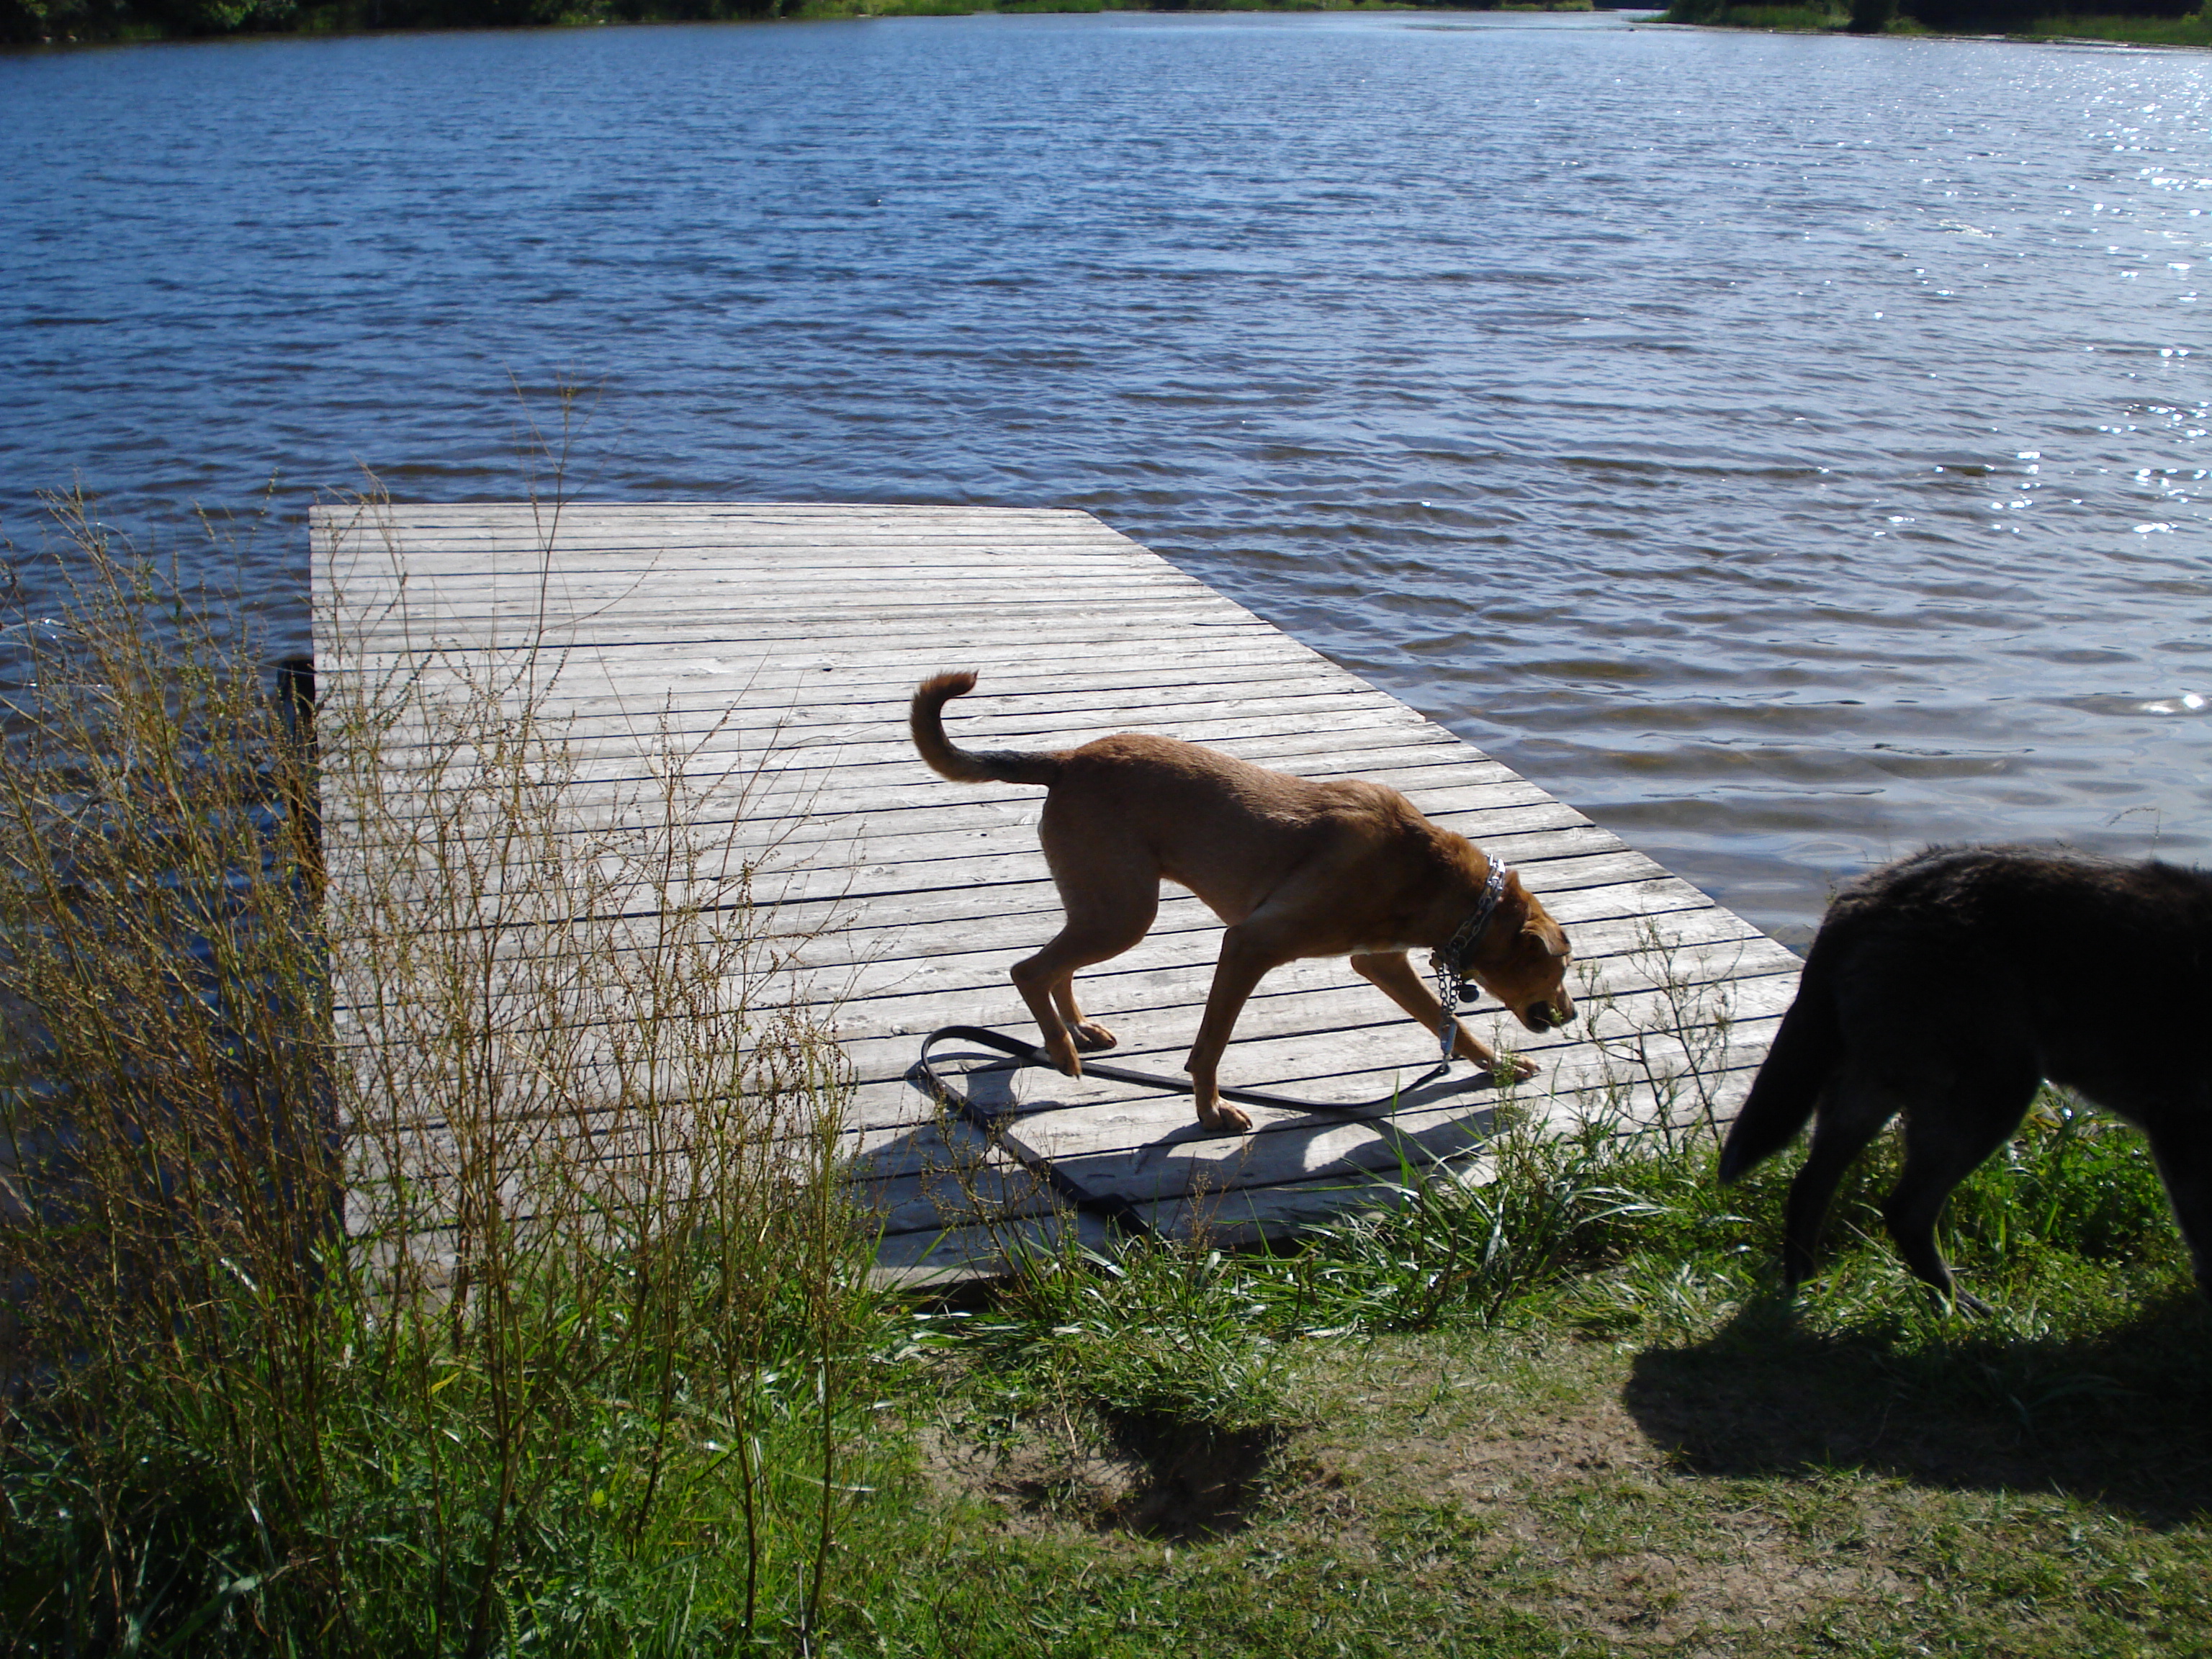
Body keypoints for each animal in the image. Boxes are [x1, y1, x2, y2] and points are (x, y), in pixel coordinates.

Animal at [909, 671, 1577, 1133]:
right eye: (1562, 964)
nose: (1570, 1015)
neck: (1442, 885)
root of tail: (1067, 761)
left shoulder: (1379, 961)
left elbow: (1453, 1026)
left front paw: (1499, 1067)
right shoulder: (1250, 945)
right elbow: (1210, 1046)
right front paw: (1211, 1112)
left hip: (1106, 905)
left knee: (1056, 966)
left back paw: (1075, 1030)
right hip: (1125, 913)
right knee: (1030, 969)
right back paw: (1061, 1049)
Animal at [1718, 845, 2212, 1309]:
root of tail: (1865, 899)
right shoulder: (2182, 1124)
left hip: (1873, 1089)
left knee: (1811, 1186)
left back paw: (1807, 1288)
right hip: (1992, 1092)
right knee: (1904, 1211)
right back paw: (1959, 1307)